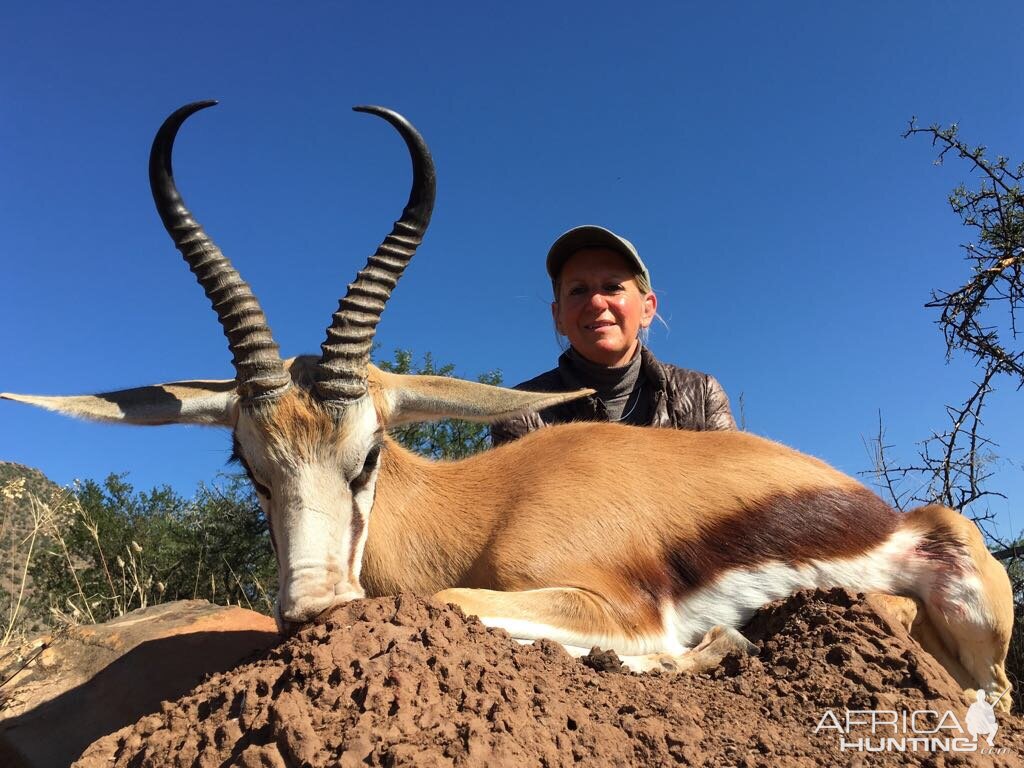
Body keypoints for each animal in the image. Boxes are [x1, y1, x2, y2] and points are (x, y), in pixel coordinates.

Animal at [2, 103, 1015, 716]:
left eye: (370, 453)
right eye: (247, 465)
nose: (315, 608)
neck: (479, 504)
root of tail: (882, 508)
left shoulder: (613, 604)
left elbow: (463, 601)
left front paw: (689, 652)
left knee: (994, 695)